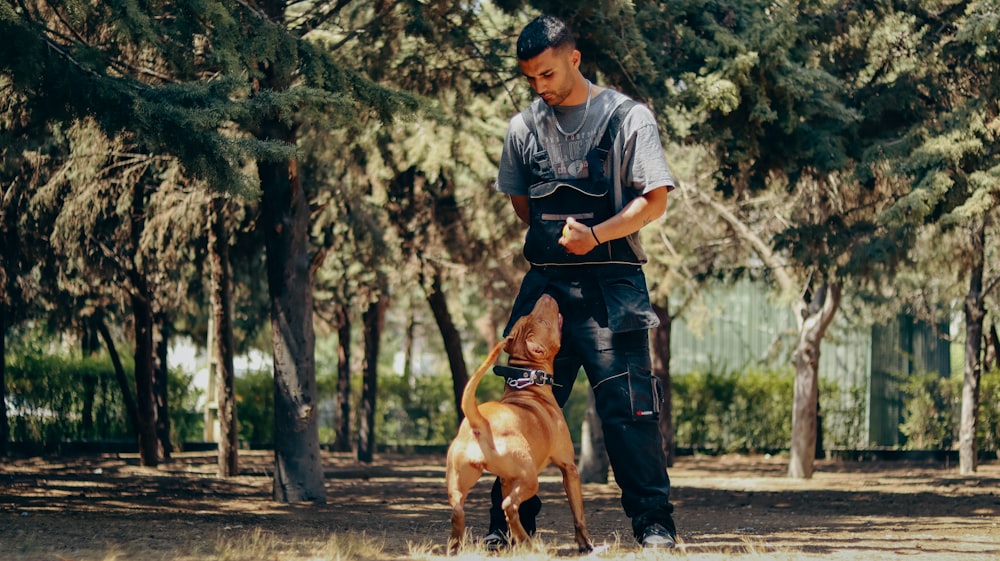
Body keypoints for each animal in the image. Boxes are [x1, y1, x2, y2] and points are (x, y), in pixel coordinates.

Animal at [446, 296, 592, 552]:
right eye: (544, 321)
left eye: (528, 316)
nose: (547, 295)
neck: (528, 383)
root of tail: (478, 420)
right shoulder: (569, 468)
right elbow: (578, 514)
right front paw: (585, 544)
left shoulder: (508, 479)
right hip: (530, 478)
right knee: (508, 506)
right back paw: (527, 541)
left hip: (460, 484)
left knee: (460, 512)